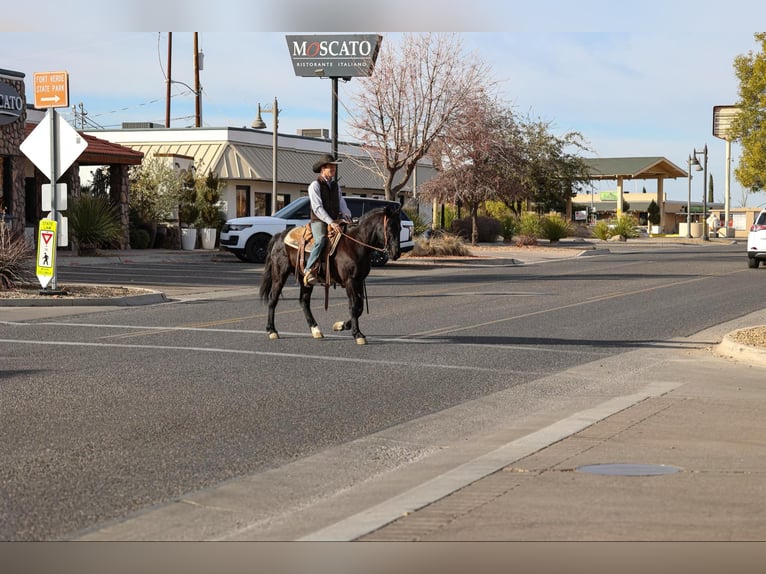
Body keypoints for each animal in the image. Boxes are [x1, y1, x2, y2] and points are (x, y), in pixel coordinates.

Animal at [260, 205, 404, 344]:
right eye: (389, 227)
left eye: (400, 227)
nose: (396, 253)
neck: (355, 243)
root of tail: (280, 236)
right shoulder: (350, 280)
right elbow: (354, 306)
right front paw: (357, 334)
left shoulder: (359, 280)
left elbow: (360, 307)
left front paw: (341, 325)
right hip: (280, 274)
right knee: (273, 299)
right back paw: (272, 330)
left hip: (305, 280)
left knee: (304, 301)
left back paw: (316, 330)